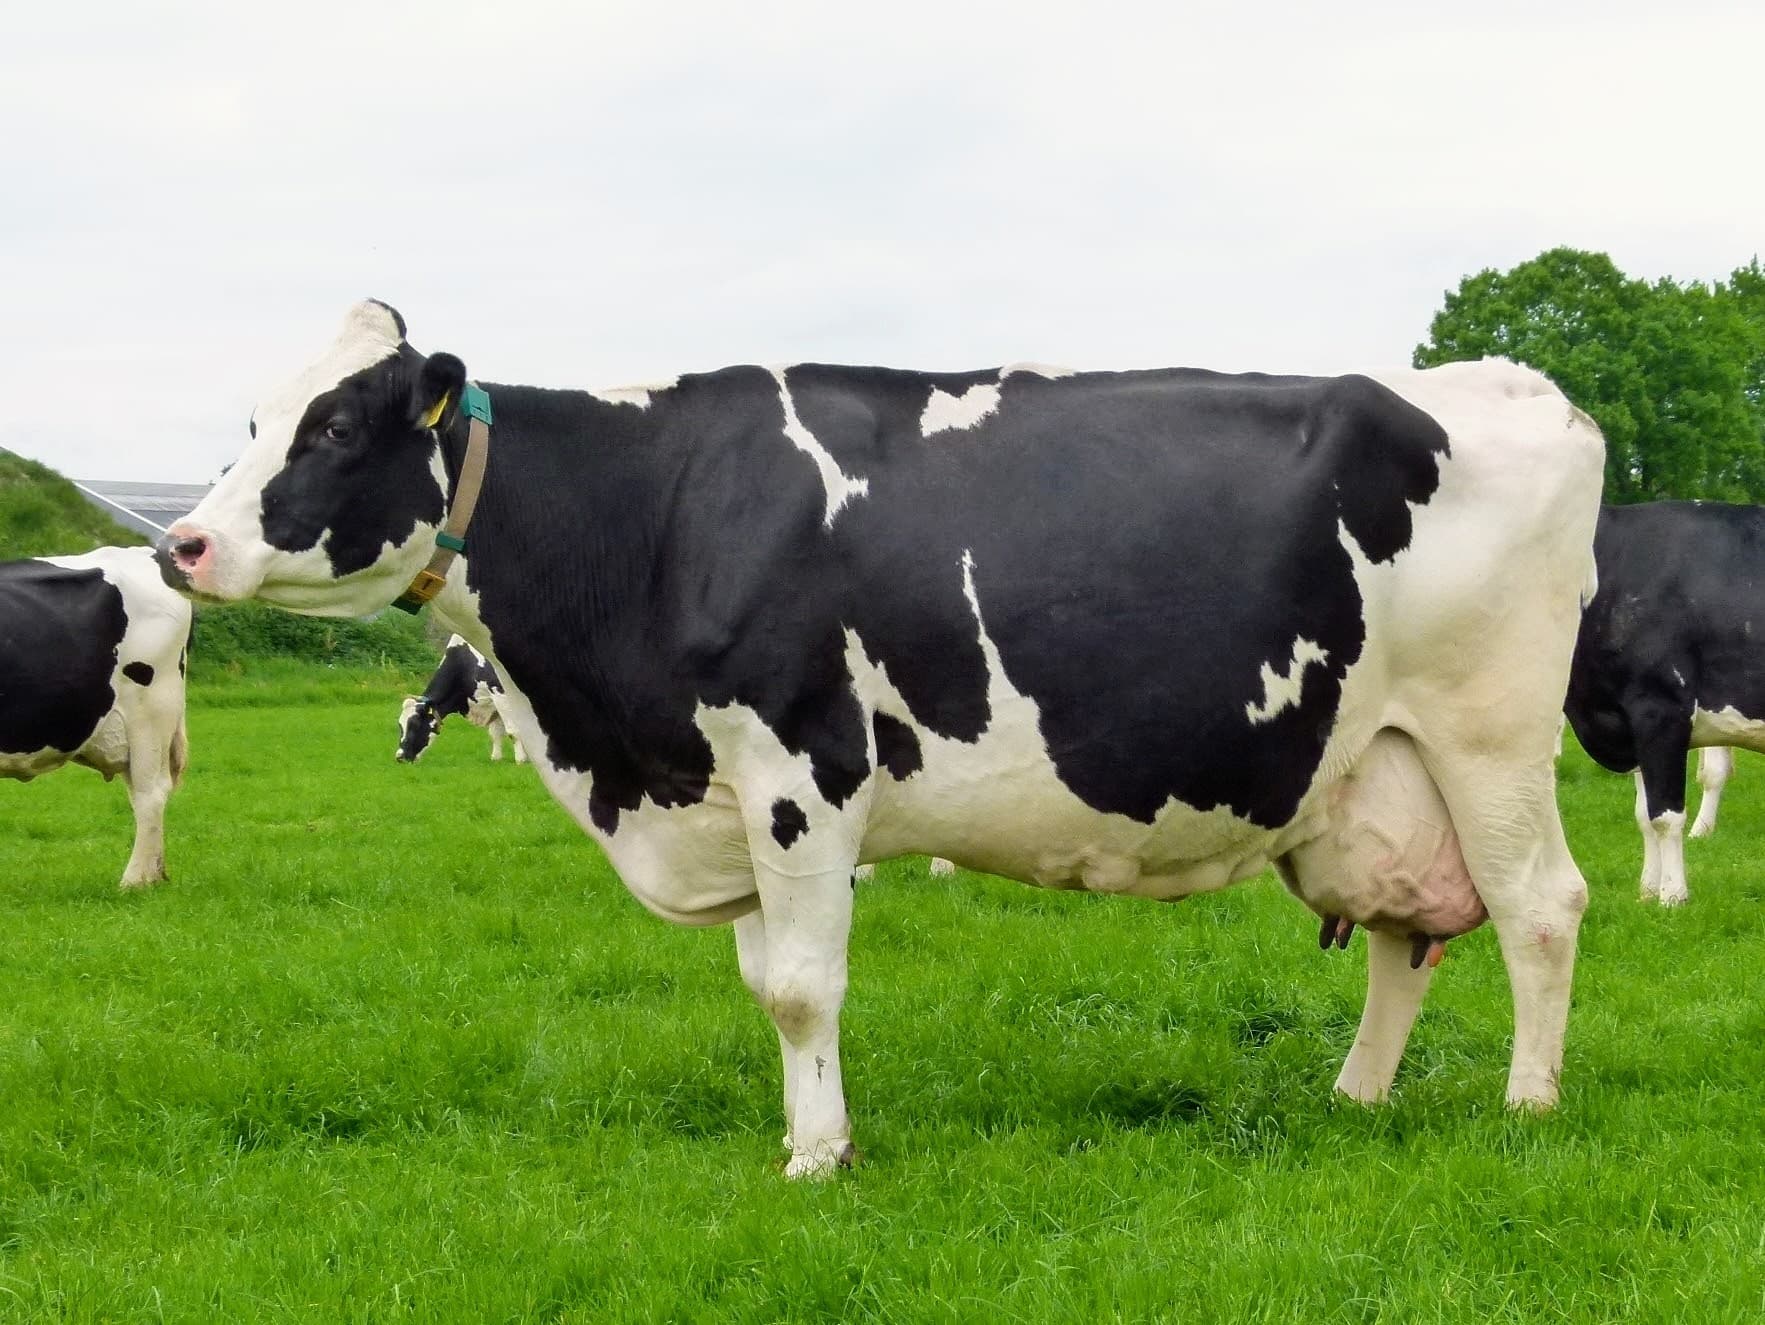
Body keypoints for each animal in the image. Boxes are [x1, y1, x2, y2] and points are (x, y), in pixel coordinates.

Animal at [397, 633, 526, 764]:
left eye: (415, 725)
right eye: (400, 725)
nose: (399, 757)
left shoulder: (501, 694)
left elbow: (513, 731)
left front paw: (521, 759)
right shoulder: (493, 702)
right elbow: (495, 732)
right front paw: (496, 758)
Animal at [1565, 501, 1765, 906]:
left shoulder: (1660, 710)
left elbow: (1665, 816)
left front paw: (1673, 896)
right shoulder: (1630, 720)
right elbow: (1643, 815)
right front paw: (1647, 890)